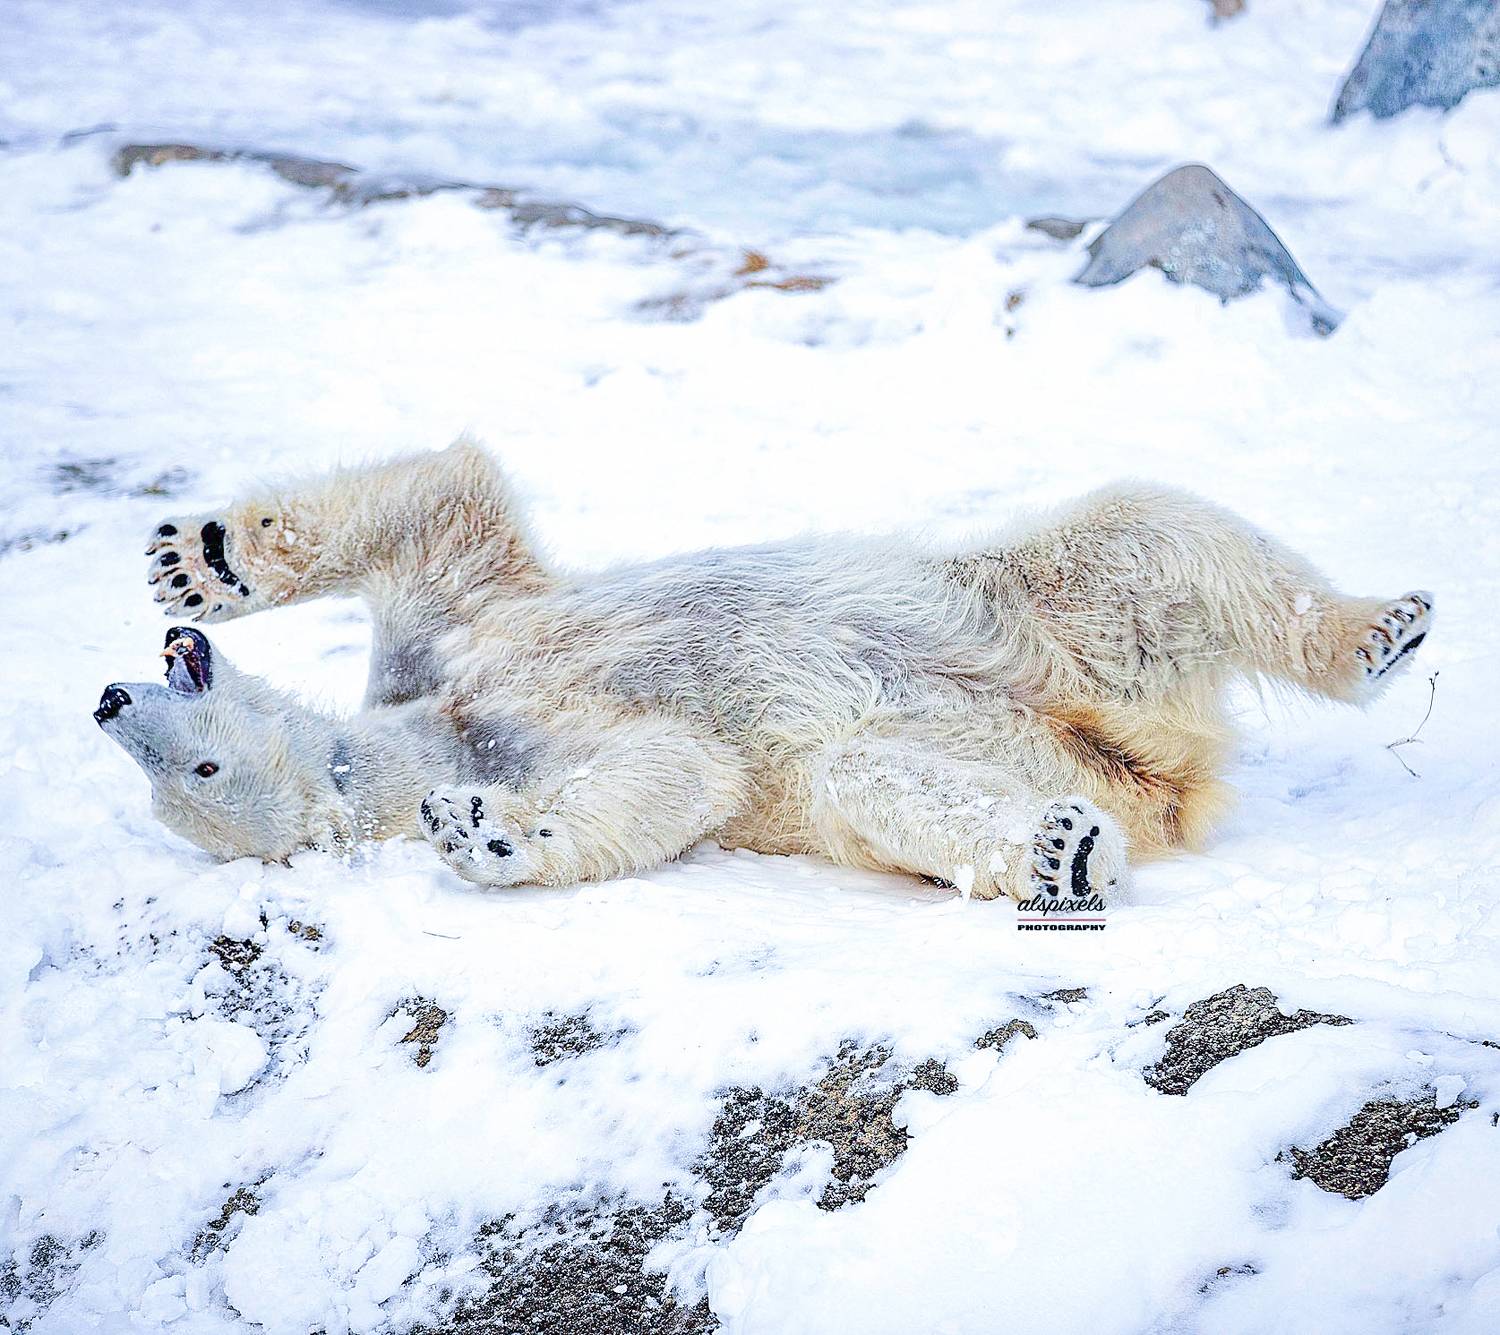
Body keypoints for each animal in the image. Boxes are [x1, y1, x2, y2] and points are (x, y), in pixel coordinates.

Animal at [94, 438, 1433, 900]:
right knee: (876, 783)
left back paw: (1379, 630)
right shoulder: (519, 729)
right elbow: (680, 774)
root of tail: (1161, 763)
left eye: (195, 765)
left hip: (1039, 609)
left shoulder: (466, 632)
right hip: (1056, 726)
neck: (453, 721)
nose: (109, 699)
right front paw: (488, 832)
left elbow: (446, 507)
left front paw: (196, 561)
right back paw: (1065, 852)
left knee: (1148, 532)